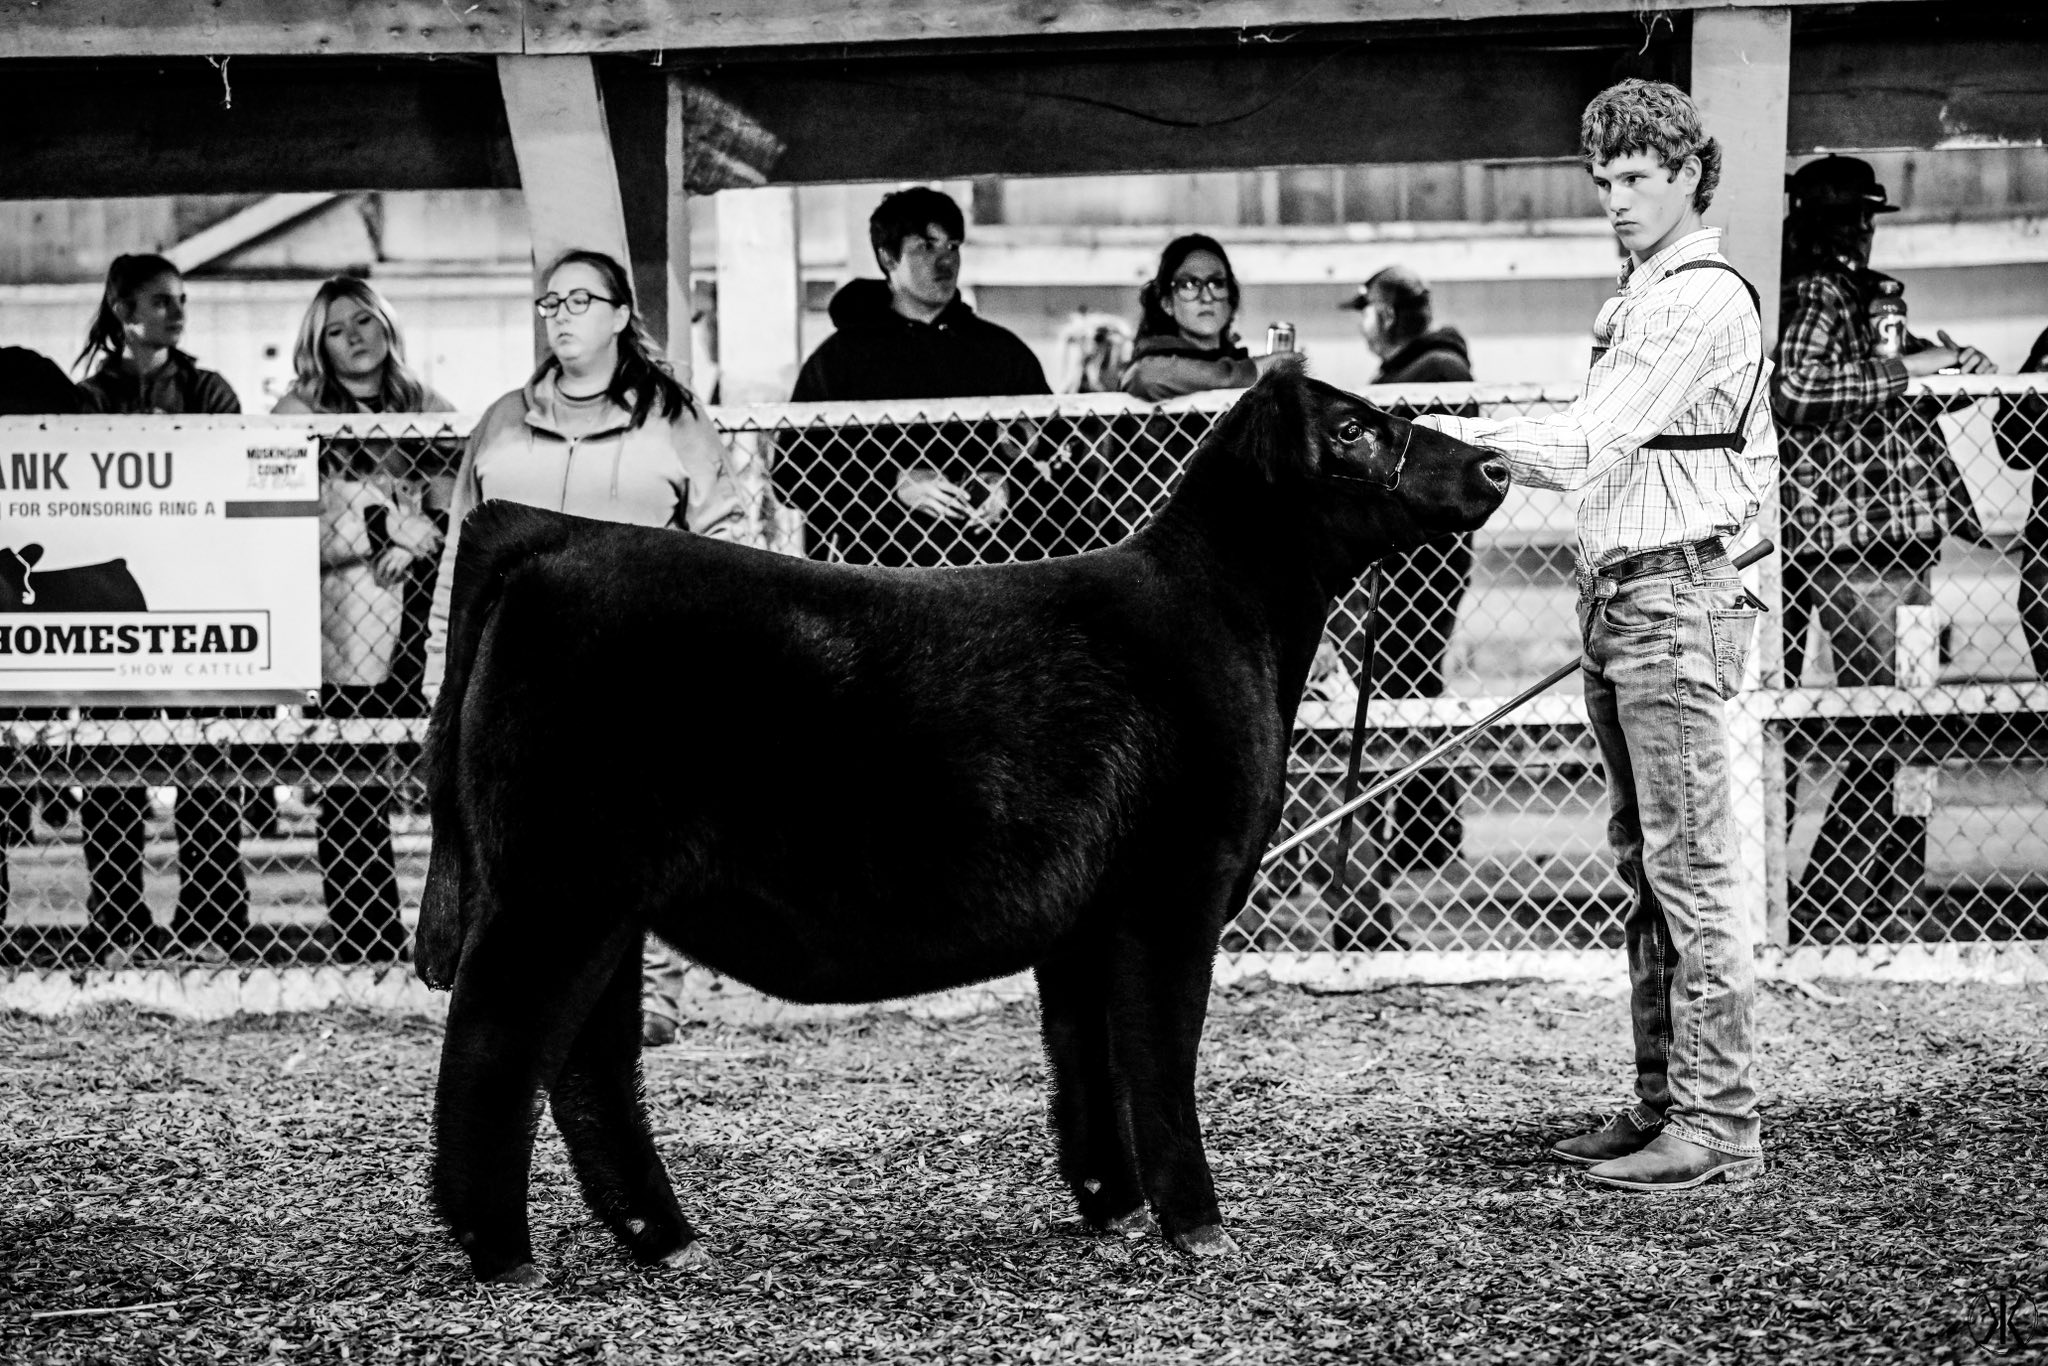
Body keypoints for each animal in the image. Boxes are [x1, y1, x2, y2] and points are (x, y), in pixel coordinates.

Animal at [419, 360, 1509, 1286]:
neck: (1232, 623)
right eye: (1352, 427)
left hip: (604, 903)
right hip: (556, 888)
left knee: (587, 1067)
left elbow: (1086, 1060)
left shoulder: (1087, 921)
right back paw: (502, 1253)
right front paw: (1197, 1225)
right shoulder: (1174, 887)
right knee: (495, 1048)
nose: (1494, 464)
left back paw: (666, 1238)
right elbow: (1158, 1059)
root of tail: (552, 536)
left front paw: (1109, 1206)